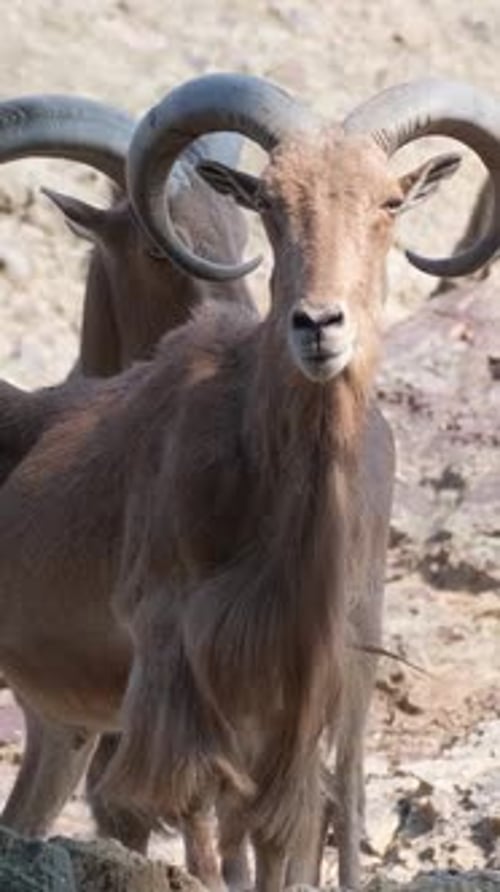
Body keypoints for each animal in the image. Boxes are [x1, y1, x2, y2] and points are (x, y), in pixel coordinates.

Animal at [1, 73, 499, 891]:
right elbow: (185, 828)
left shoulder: (307, 689)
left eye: (390, 201)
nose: (319, 324)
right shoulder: (175, 680)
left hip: (68, 720)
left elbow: (282, 834)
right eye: (268, 201)